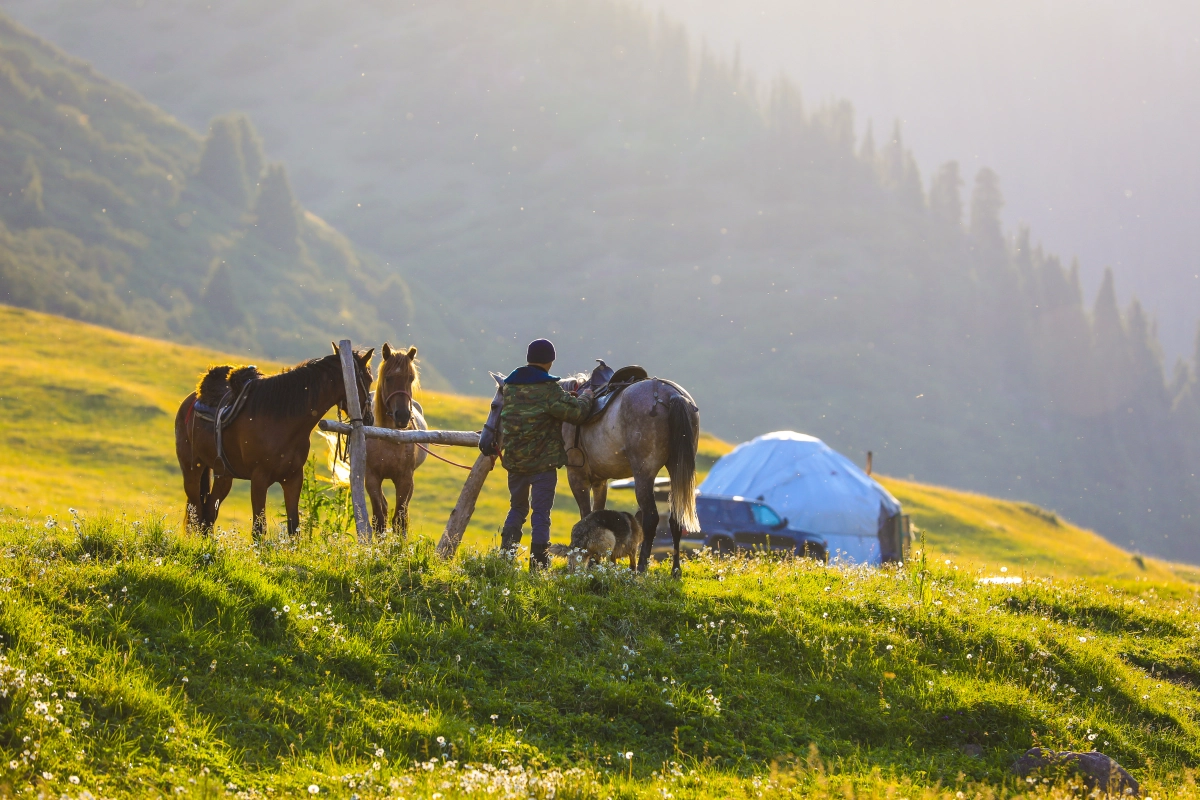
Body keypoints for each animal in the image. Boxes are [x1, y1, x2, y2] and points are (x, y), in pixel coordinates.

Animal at [175, 347, 372, 542]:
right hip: (192, 470)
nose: (369, 419)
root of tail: (190, 400)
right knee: (196, 511)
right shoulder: (259, 479)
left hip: (224, 475)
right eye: (369, 379)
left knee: (209, 512)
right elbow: (258, 529)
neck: (282, 418)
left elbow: (294, 528)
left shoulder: (293, 478)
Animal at [362, 343, 429, 537]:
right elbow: (380, 518)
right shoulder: (371, 477)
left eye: (410, 378)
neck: (388, 438)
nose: (403, 416)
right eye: (388, 378)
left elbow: (400, 519)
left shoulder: (405, 479)